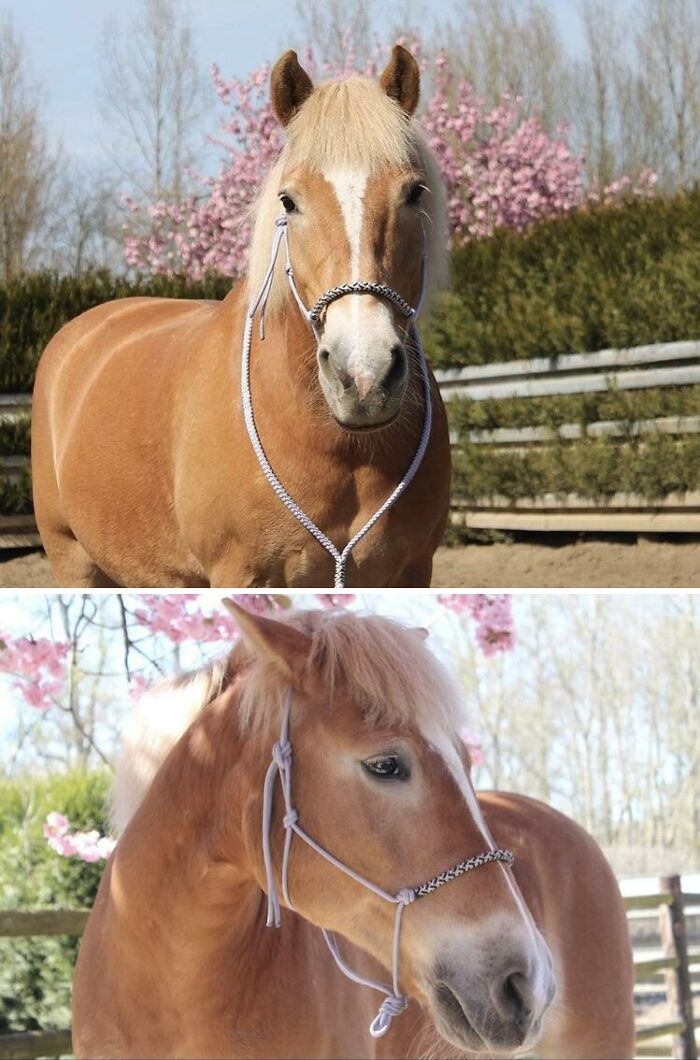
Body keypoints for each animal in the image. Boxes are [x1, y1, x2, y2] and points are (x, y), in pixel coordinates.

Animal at [31, 46, 452, 589]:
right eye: (289, 201)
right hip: (73, 559)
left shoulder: (412, 572)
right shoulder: (240, 574)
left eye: (414, 192)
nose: (363, 376)